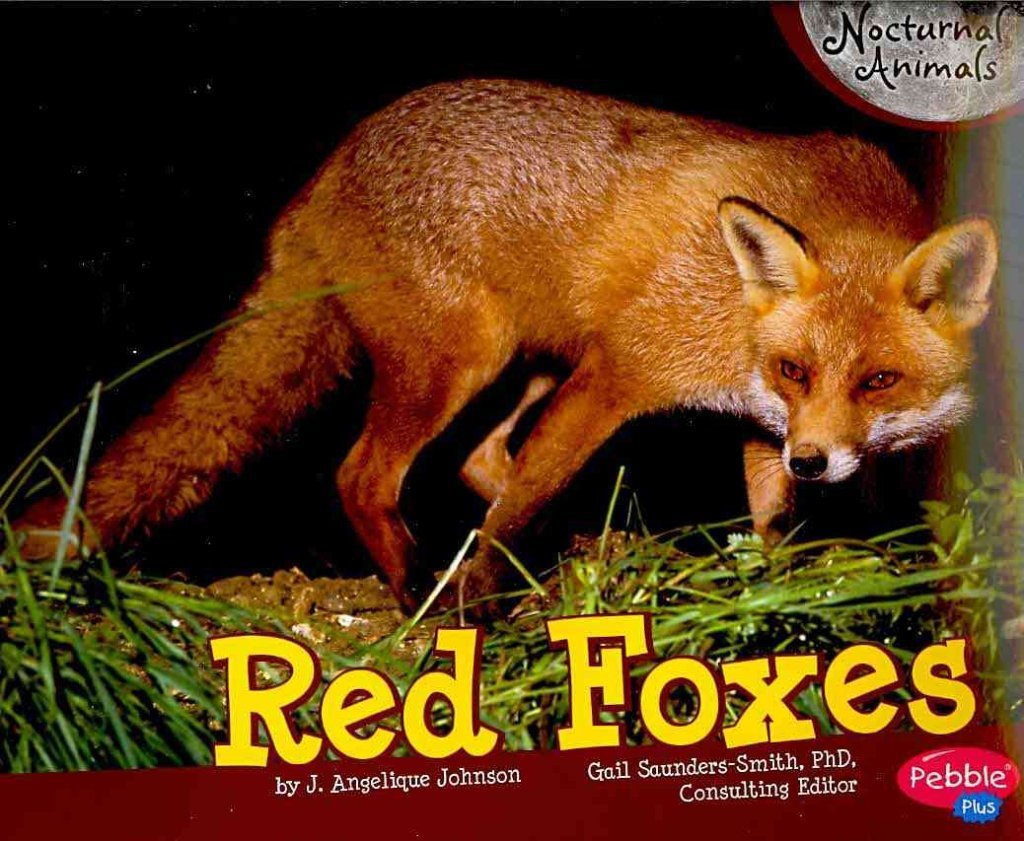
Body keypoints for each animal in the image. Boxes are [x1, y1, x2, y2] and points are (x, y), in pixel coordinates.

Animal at [14, 79, 998, 615]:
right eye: (800, 368)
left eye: (878, 379)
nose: (816, 461)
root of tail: (324, 175)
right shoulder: (623, 371)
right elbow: (522, 501)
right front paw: (480, 602)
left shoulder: (758, 422)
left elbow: (769, 522)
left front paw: (785, 585)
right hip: (465, 362)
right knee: (368, 475)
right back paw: (425, 590)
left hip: (526, 364)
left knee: (481, 457)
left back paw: (578, 550)